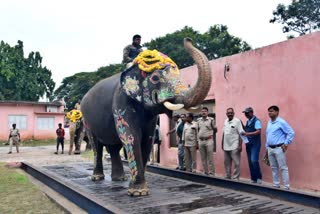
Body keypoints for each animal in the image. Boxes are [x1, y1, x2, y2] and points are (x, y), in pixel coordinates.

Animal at [80, 37, 211, 196]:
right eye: (155, 78)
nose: (188, 39)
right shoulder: (121, 102)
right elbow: (130, 136)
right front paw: (138, 193)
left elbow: (148, 138)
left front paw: (140, 190)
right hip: (86, 119)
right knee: (96, 146)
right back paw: (98, 178)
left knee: (113, 147)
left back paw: (119, 179)